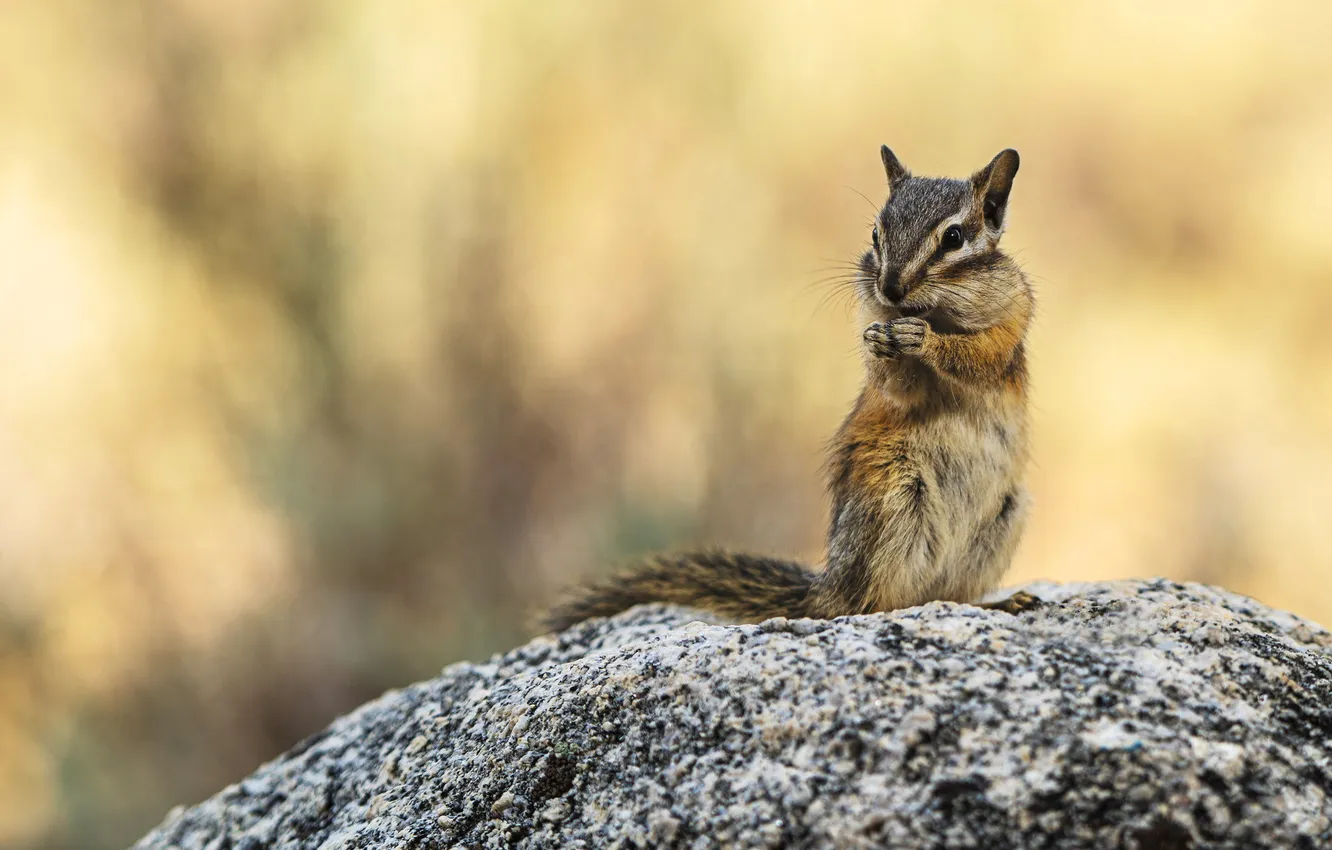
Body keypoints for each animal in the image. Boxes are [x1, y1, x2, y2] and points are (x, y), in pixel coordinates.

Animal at [543, 146, 1035, 631]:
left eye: (953, 238)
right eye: (876, 233)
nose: (890, 288)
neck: (937, 312)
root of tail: (828, 587)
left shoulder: (1011, 321)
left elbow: (978, 356)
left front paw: (924, 341)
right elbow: (897, 389)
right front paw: (882, 346)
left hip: (1005, 514)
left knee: (945, 597)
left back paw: (998, 603)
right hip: (894, 498)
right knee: (876, 604)